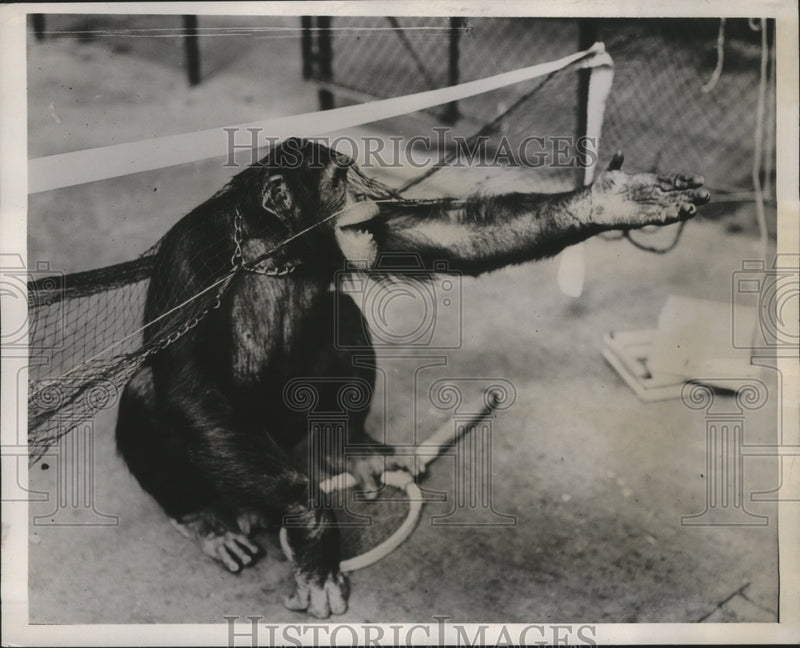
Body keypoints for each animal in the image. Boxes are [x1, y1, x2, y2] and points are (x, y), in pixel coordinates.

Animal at [115, 137, 710, 618]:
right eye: (338, 178)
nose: (363, 189)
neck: (272, 246)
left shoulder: (378, 234)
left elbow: (446, 235)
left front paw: (616, 199)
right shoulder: (191, 262)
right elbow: (188, 388)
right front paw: (313, 531)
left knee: (344, 314)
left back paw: (351, 449)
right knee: (147, 393)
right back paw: (206, 521)